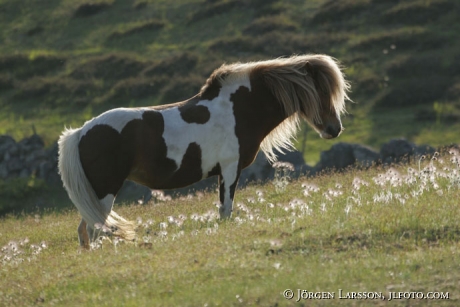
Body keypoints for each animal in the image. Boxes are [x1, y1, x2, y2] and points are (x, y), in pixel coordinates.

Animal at [59, 54, 350, 249]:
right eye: (321, 91)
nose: (334, 129)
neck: (239, 108)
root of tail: (80, 133)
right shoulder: (230, 169)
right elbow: (226, 210)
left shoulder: (223, 172)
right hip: (104, 192)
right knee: (94, 230)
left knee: (85, 231)